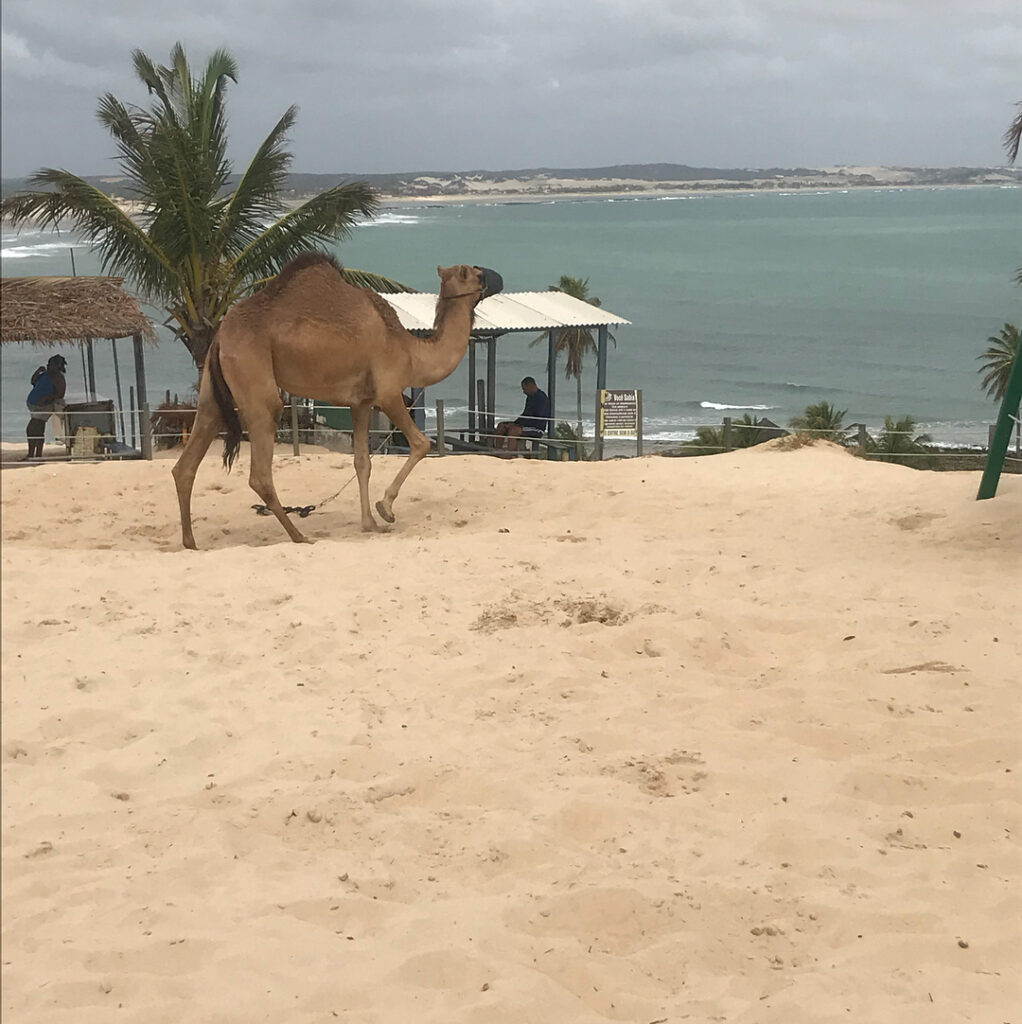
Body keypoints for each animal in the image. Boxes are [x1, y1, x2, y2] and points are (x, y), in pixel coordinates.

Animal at [174, 251, 505, 548]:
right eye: (473, 272)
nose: (498, 277)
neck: (410, 351)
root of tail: (220, 336)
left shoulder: (361, 402)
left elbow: (362, 462)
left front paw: (369, 523)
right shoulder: (388, 392)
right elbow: (421, 444)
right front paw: (386, 509)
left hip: (213, 391)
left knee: (187, 460)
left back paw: (191, 542)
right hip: (252, 373)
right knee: (260, 469)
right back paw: (299, 536)